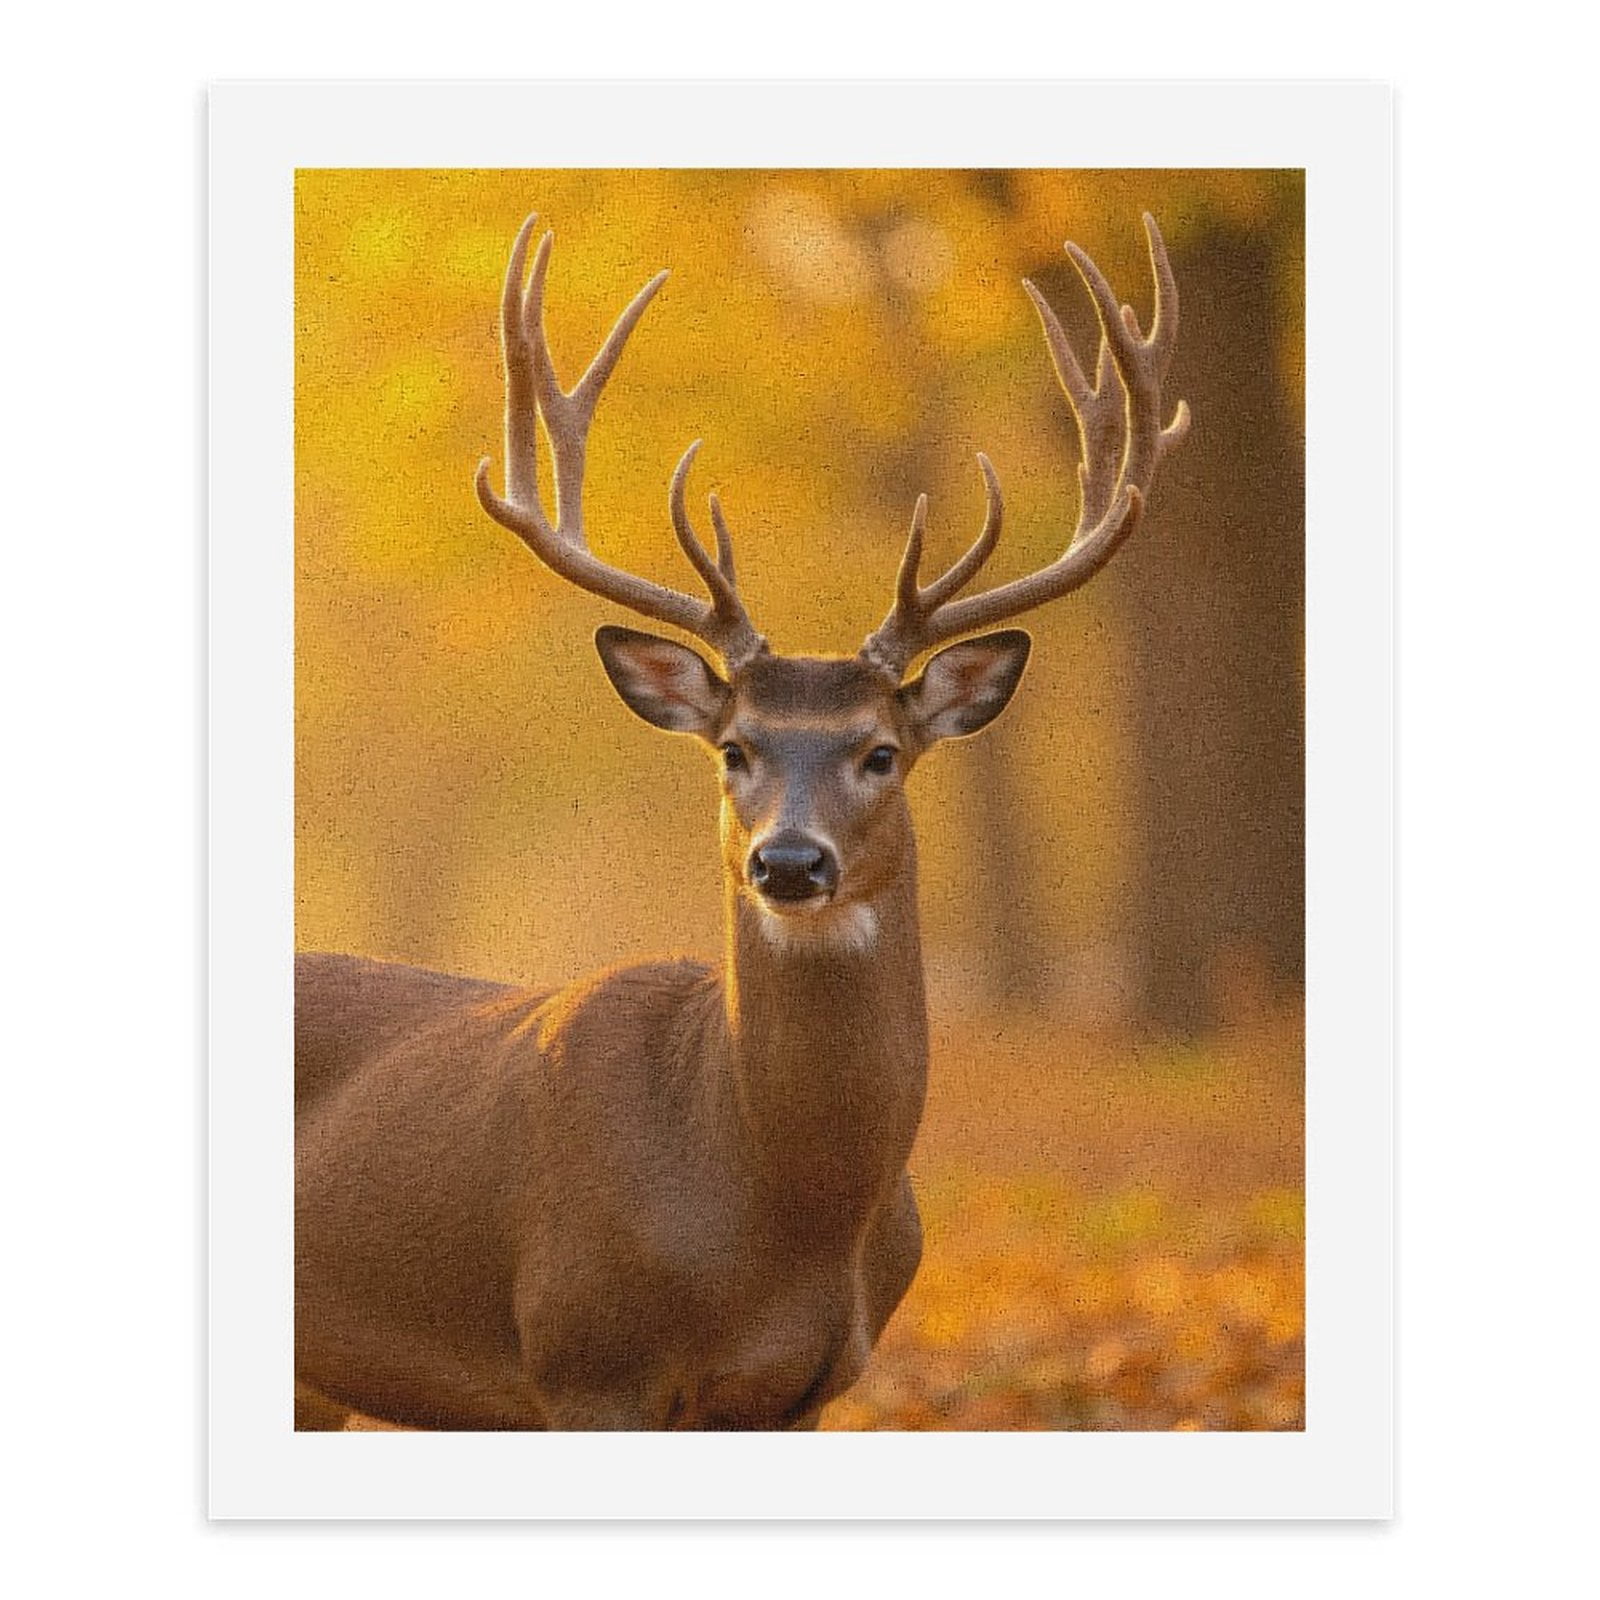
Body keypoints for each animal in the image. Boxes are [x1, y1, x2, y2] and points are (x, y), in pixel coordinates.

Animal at [294, 207, 1188, 1432]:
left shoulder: (808, 1387)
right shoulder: (584, 1357)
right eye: (734, 749)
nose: (790, 862)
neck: (779, 1218)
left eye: (880, 752)